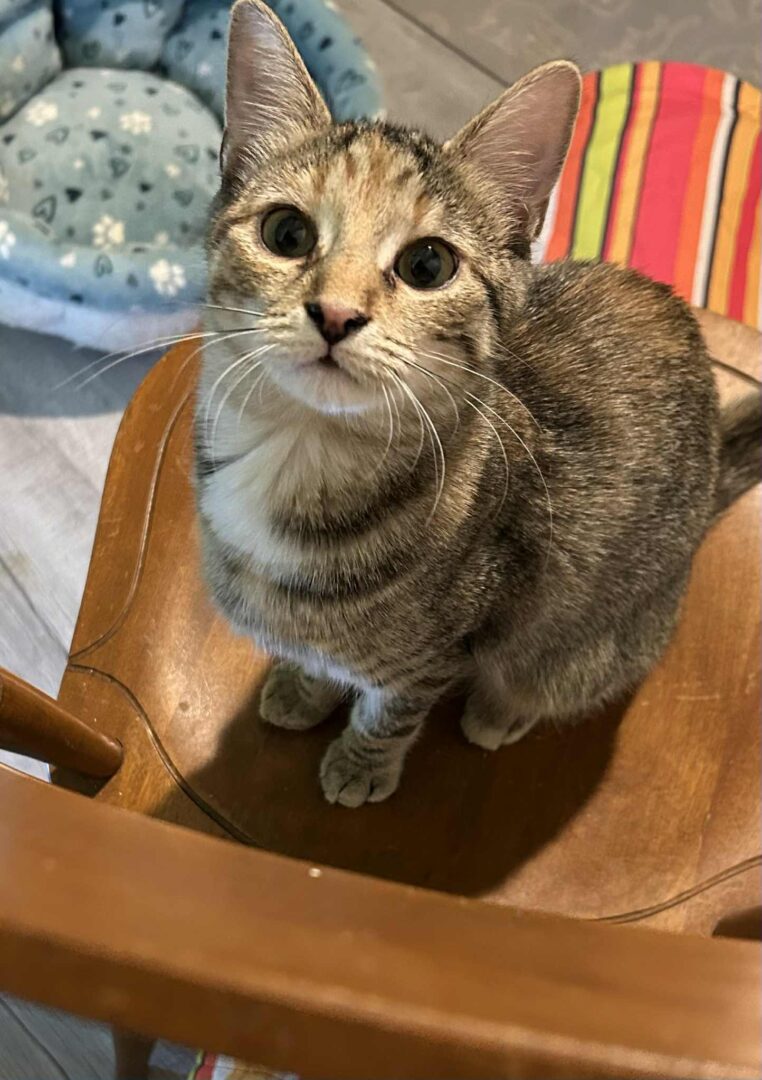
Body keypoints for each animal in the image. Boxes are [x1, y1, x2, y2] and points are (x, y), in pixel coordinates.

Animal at [194, 0, 762, 807]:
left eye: (428, 264)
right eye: (286, 232)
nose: (334, 313)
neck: (304, 453)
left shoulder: (449, 645)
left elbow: (393, 706)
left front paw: (362, 763)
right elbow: (325, 659)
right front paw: (305, 687)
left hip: (593, 644)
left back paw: (501, 712)